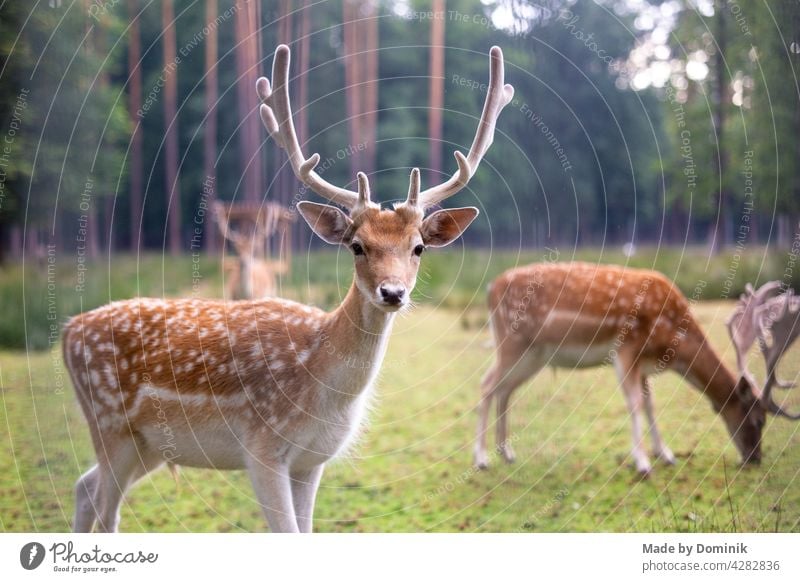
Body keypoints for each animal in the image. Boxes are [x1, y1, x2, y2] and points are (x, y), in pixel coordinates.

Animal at [62, 44, 512, 532]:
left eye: (418, 248)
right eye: (357, 245)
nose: (393, 293)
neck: (323, 392)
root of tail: (67, 331)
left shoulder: (312, 460)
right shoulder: (261, 447)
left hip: (148, 445)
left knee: (84, 487)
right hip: (110, 423)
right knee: (105, 505)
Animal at [472, 264, 796, 480]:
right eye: (758, 419)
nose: (754, 458)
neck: (672, 339)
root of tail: (489, 290)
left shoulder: (644, 364)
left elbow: (650, 404)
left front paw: (665, 455)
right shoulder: (627, 348)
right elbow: (635, 403)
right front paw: (642, 463)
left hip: (534, 355)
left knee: (505, 390)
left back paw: (506, 453)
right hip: (511, 341)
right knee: (487, 384)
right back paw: (482, 459)